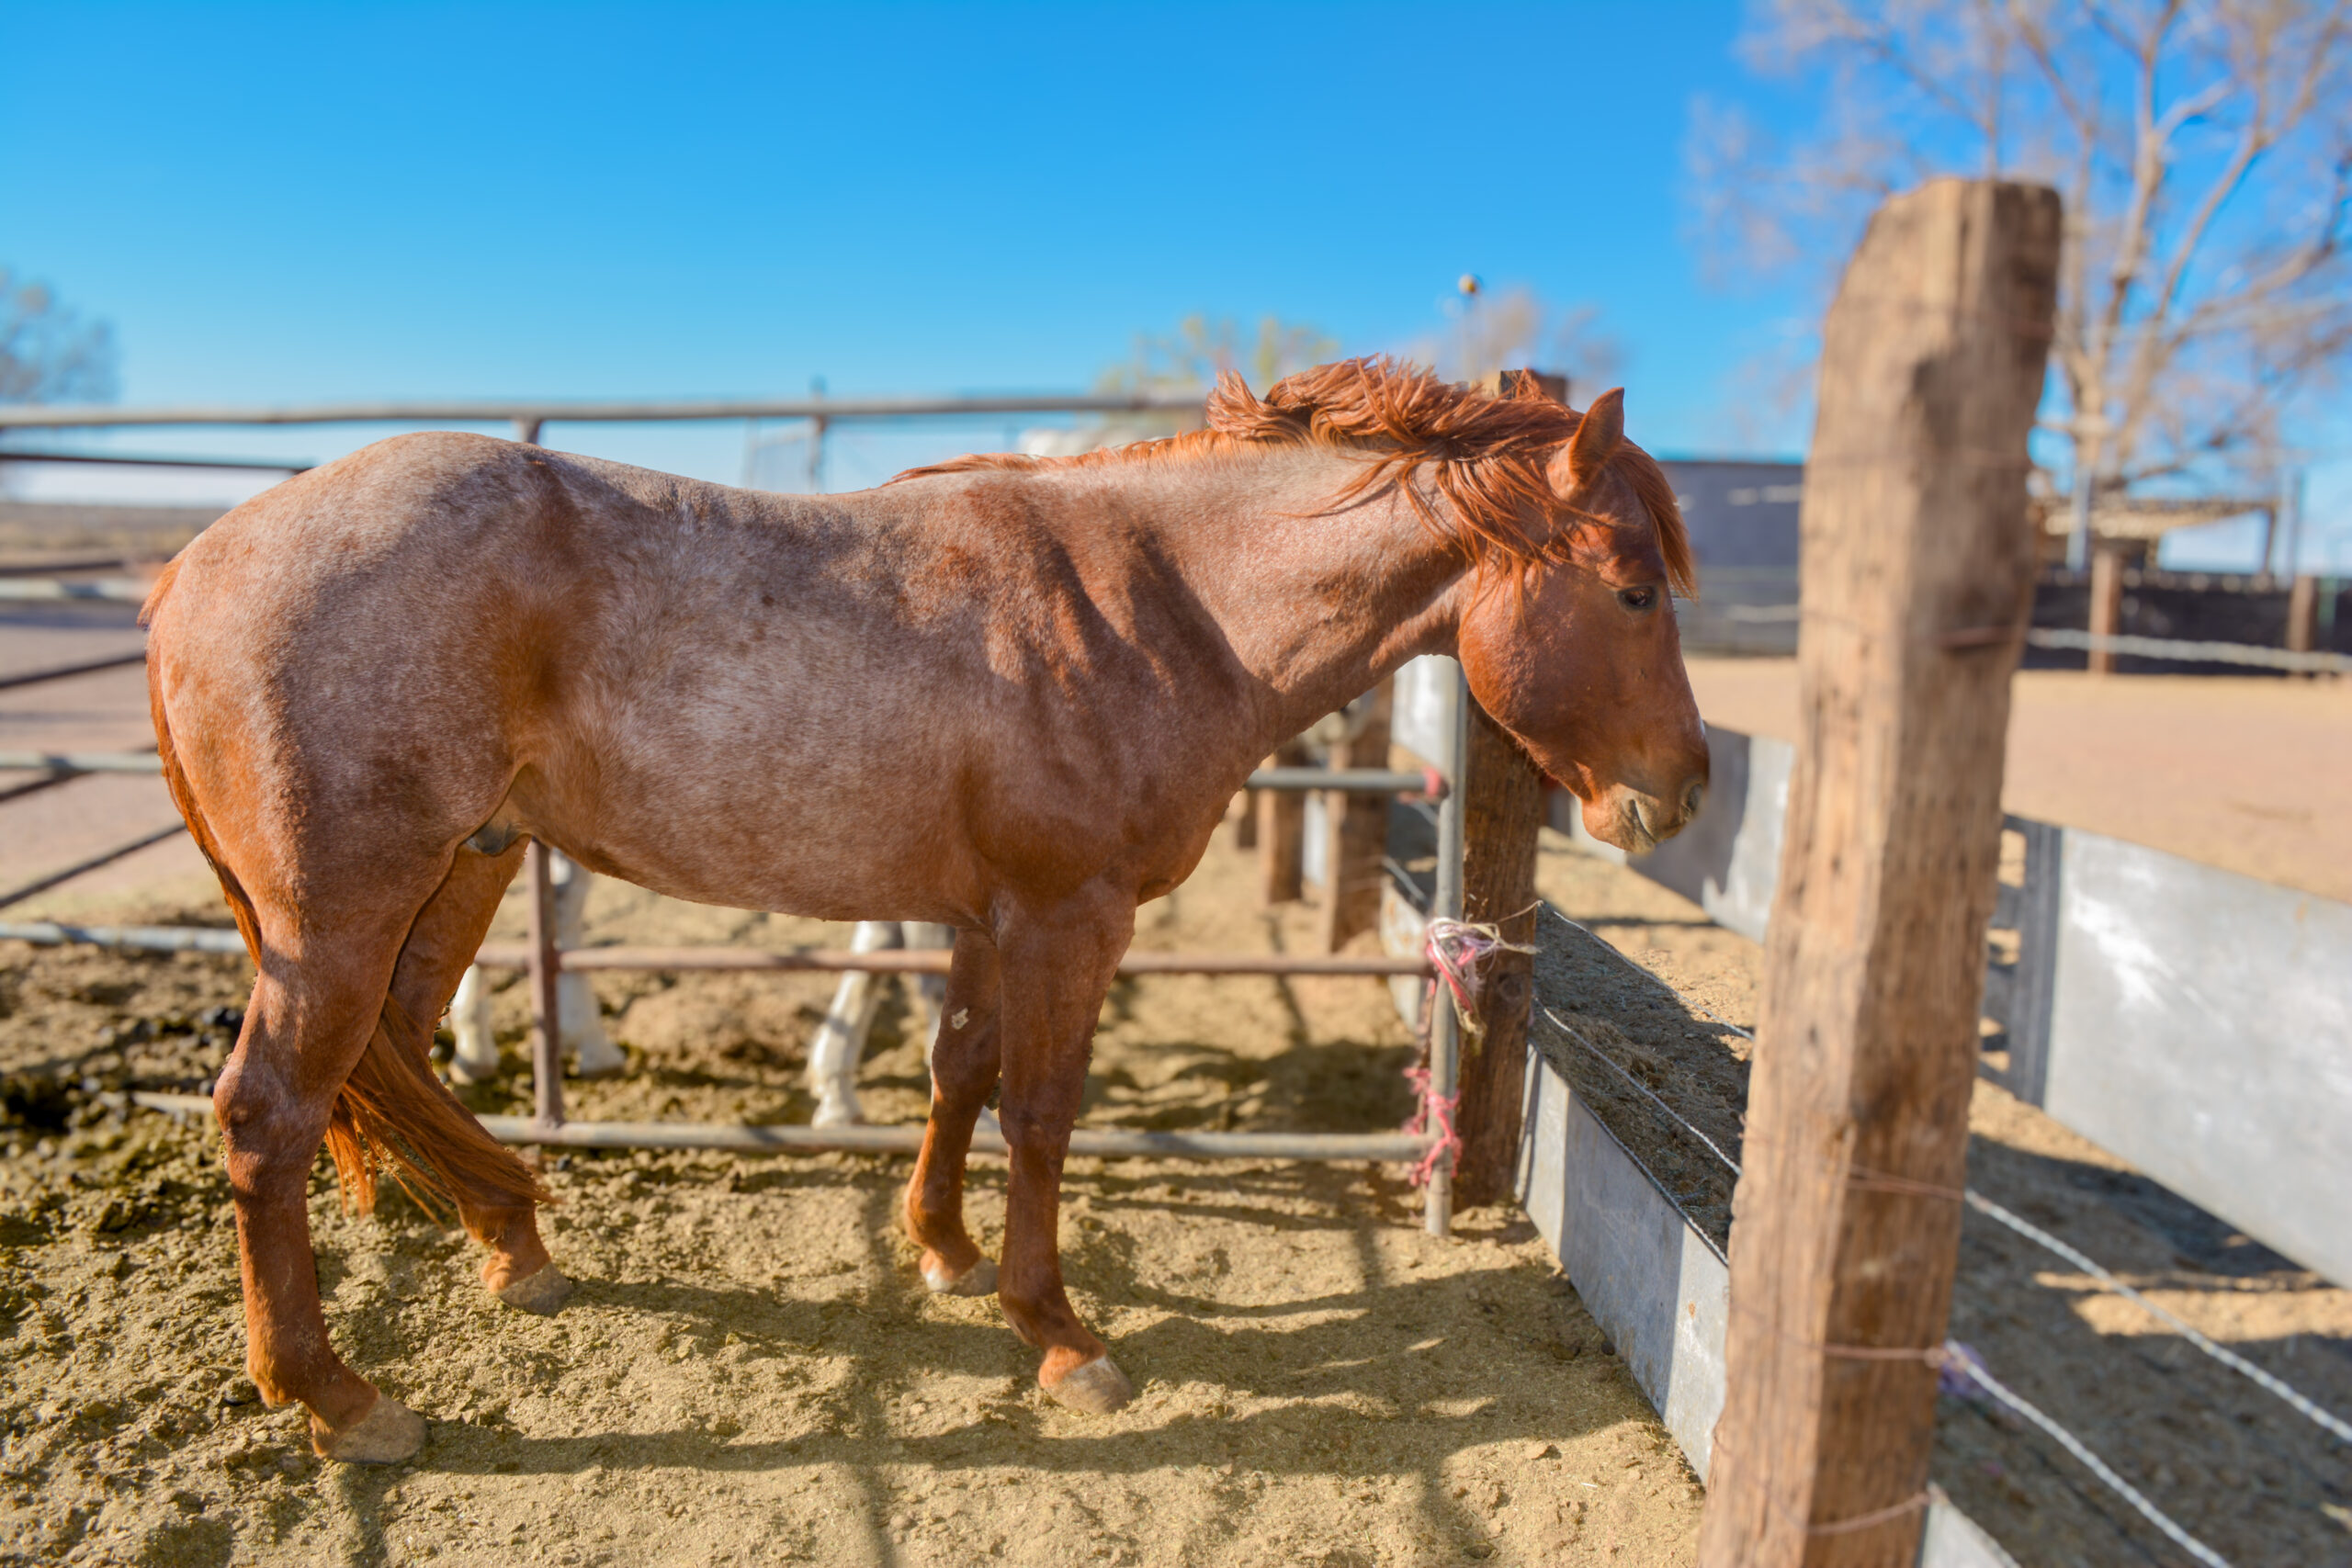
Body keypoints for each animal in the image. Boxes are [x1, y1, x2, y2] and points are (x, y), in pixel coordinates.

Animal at [140, 357, 1708, 1464]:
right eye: (1634, 589)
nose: (1683, 790)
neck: (1159, 601)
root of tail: (194, 562)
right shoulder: (1068, 918)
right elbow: (1043, 1110)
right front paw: (1059, 1331)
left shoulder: (982, 915)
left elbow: (957, 1069)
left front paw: (944, 1251)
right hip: (341, 909)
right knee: (271, 1111)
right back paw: (338, 1392)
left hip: (456, 868)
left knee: (396, 1045)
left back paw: (507, 1236)